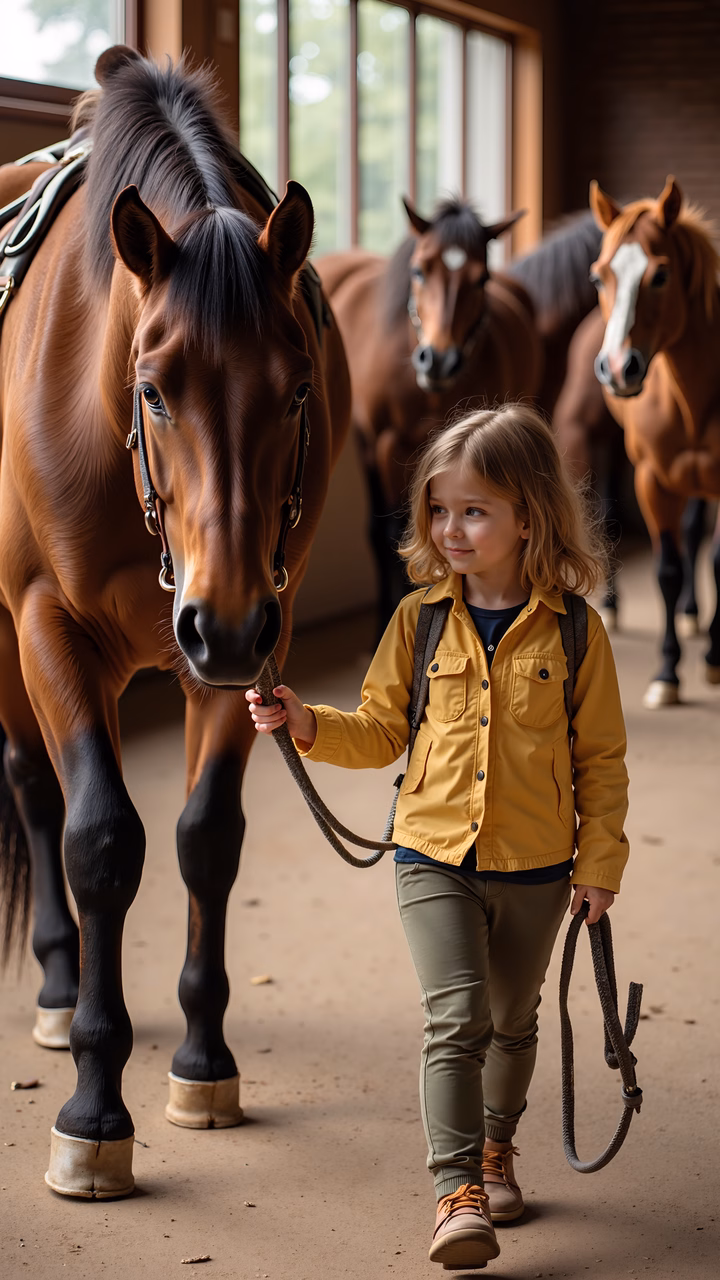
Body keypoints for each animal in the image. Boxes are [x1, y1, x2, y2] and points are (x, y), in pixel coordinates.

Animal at [0, 45, 350, 1199]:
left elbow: (206, 838)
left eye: (297, 392)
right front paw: (92, 1111)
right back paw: (60, 991)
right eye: (153, 389)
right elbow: (100, 838)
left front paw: (203, 1062)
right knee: (33, 788)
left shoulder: (245, 647)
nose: (224, 624)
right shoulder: (48, 626)